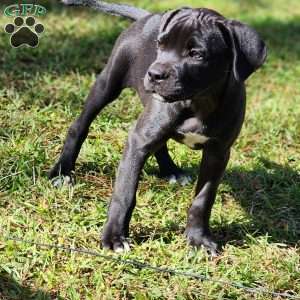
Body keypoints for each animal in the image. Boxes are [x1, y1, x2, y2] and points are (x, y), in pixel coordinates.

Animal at [49, 0, 268, 255]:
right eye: (160, 45)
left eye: (196, 54)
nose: (154, 74)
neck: (199, 102)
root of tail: (147, 16)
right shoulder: (137, 141)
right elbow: (125, 193)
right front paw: (114, 237)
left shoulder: (218, 152)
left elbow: (203, 199)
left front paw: (198, 238)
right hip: (107, 84)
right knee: (79, 126)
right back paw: (62, 172)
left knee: (160, 143)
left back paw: (171, 170)